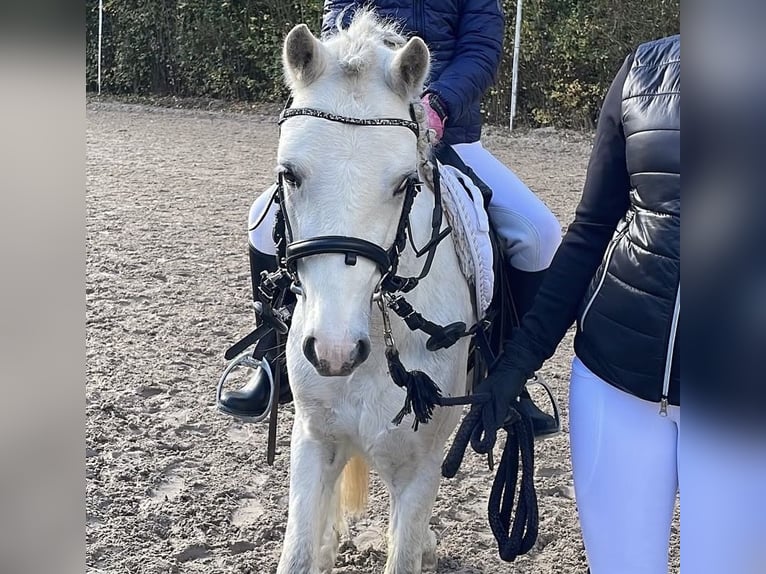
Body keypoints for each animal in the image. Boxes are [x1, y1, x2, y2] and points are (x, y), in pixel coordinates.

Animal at [274, 11, 476, 573]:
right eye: (289, 175)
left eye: (405, 182)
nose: (335, 352)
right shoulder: (314, 441)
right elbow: (296, 553)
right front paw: (317, 550)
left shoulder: (420, 465)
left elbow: (402, 550)